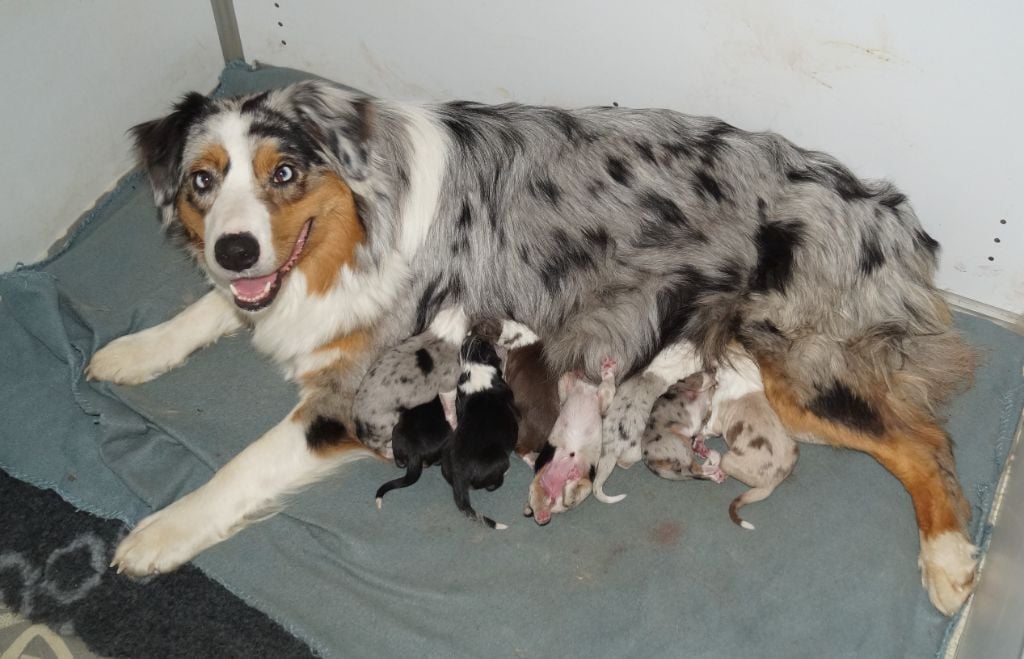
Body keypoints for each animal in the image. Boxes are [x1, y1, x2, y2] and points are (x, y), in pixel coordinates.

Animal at [440, 335, 520, 532]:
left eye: (465, 345)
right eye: (486, 343)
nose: (473, 335)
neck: (475, 365)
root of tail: (459, 476)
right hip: (500, 459)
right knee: (490, 485)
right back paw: (505, 473)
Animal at [704, 349, 798, 532]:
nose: (708, 357)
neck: (741, 372)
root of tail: (772, 482)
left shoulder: (715, 421)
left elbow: (706, 427)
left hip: (727, 459)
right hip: (794, 447)